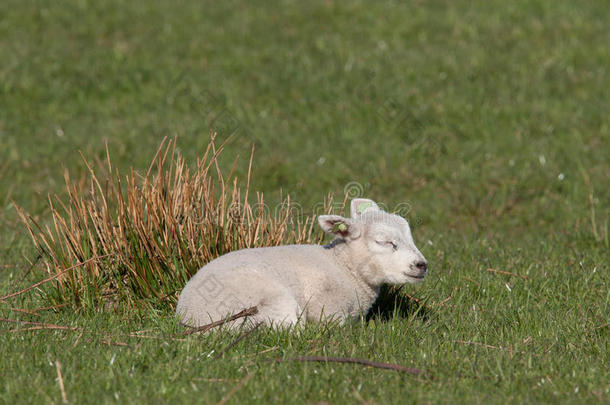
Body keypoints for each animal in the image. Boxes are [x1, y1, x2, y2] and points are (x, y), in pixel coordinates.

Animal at [173, 198, 426, 328]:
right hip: (273, 299)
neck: (344, 267)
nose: (422, 265)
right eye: (384, 241)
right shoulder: (328, 310)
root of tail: (191, 318)